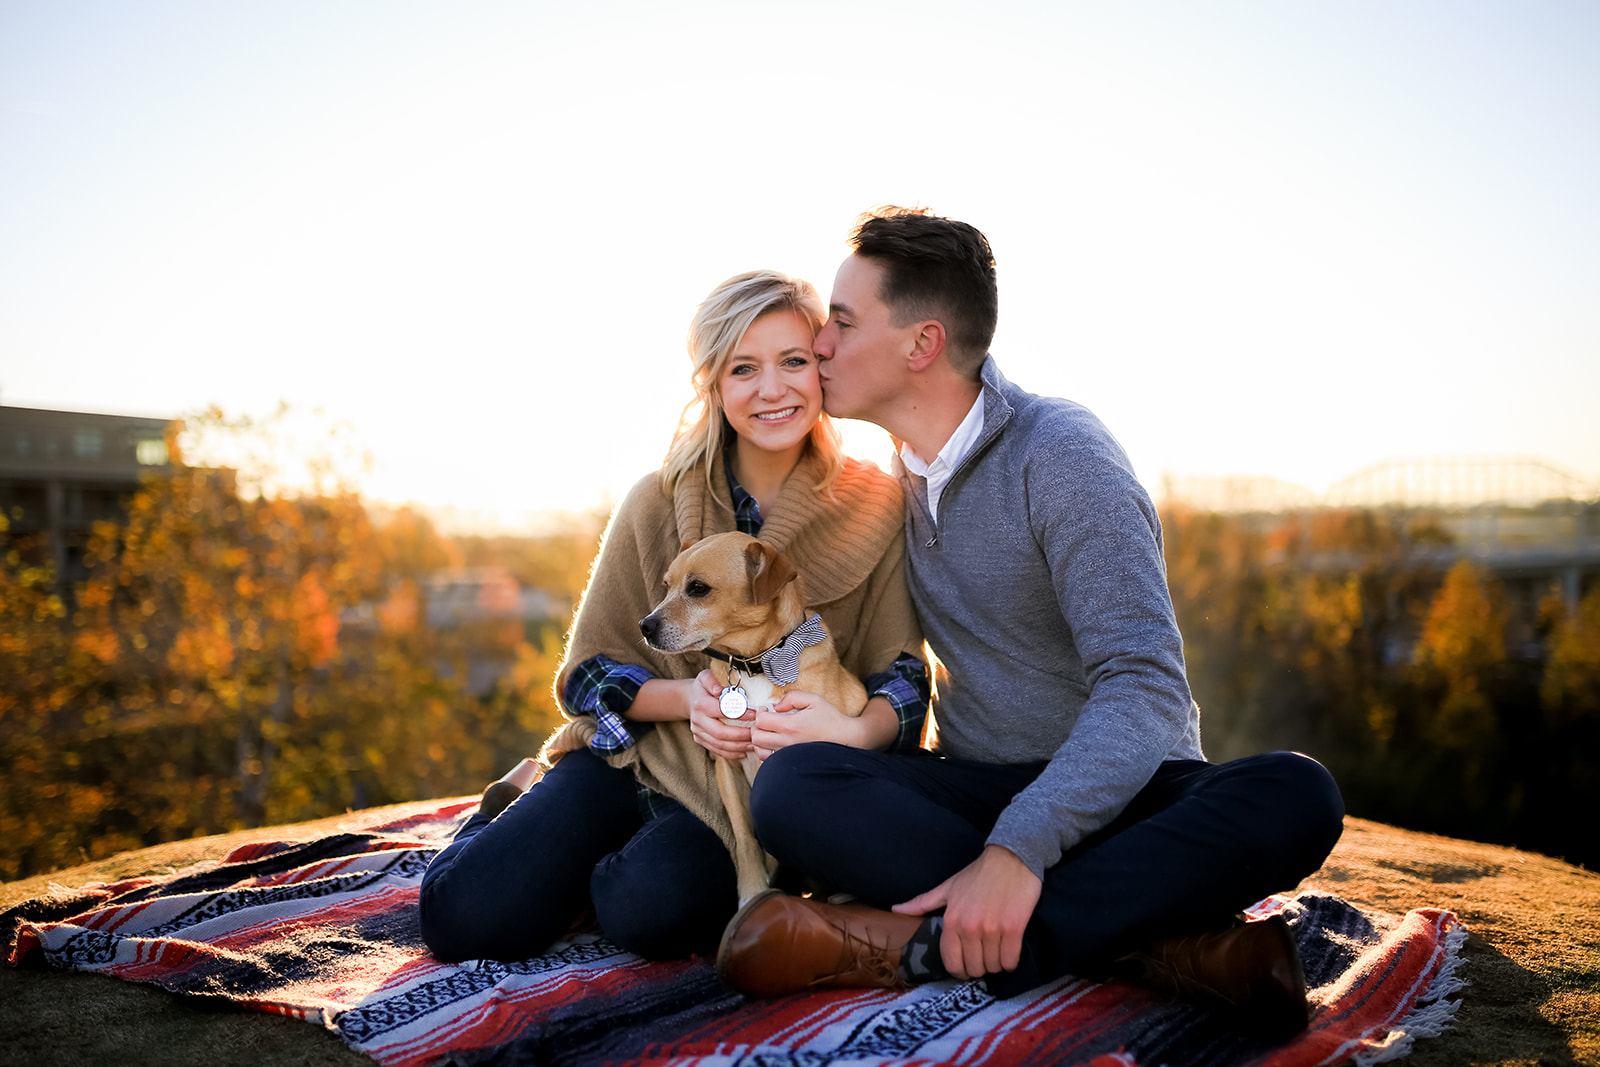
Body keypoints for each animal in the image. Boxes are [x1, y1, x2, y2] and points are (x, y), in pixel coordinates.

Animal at [640, 531, 870, 902]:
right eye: (666, 586)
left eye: (698, 588)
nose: (644, 626)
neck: (757, 663)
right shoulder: (728, 767)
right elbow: (745, 839)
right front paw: (752, 893)